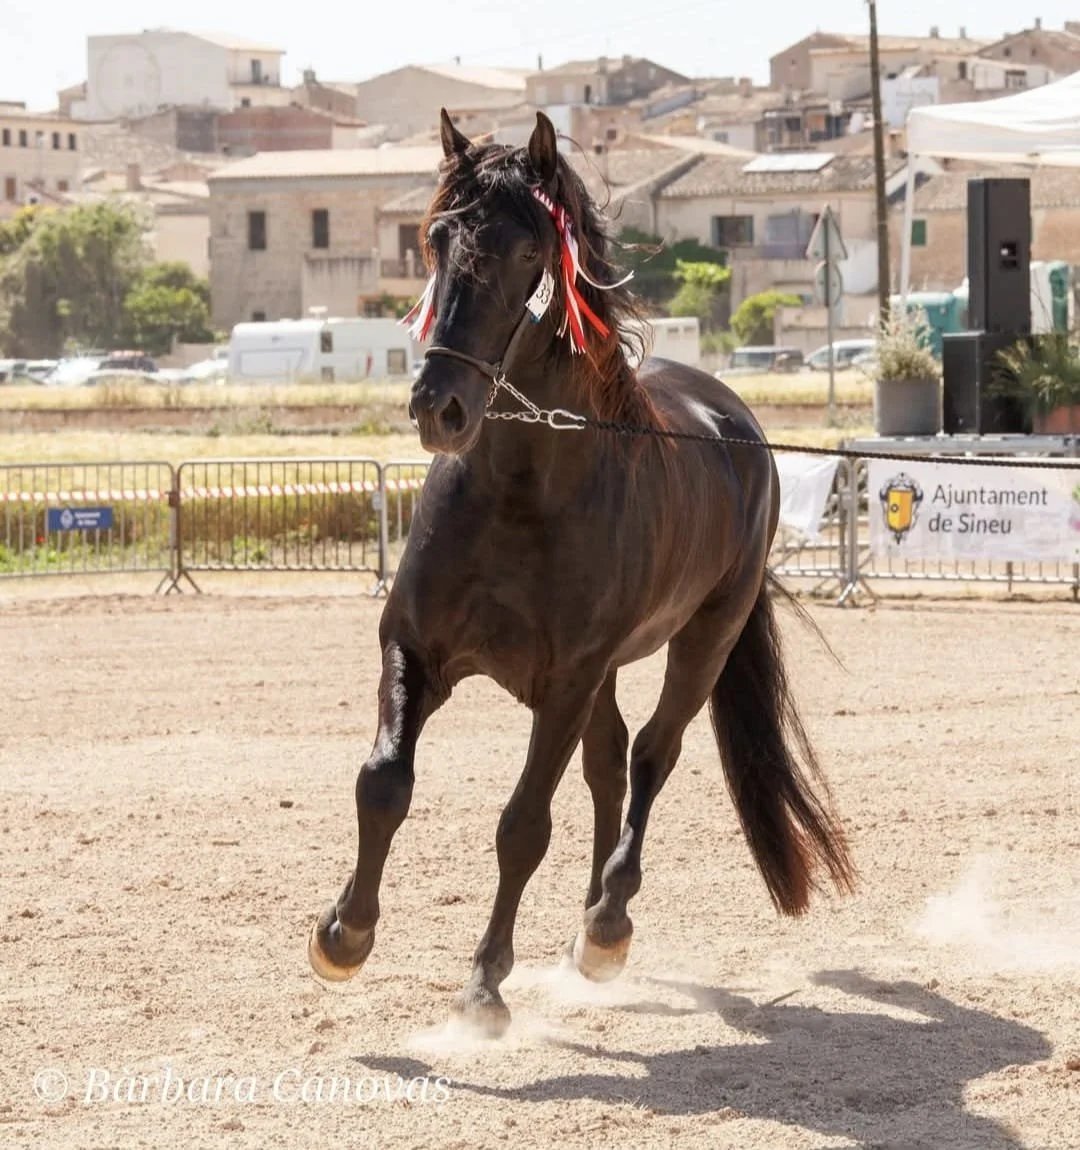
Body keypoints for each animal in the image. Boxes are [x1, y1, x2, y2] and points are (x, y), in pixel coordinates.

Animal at [308, 109, 855, 1036]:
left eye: (530, 252)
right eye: (436, 240)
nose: (439, 407)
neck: (518, 492)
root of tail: (735, 421)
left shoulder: (563, 683)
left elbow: (523, 825)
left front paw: (484, 985)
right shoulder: (416, 648)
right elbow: (382, 783)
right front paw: (344, 935)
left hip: (701, 642)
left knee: (651, 755)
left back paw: (606, 923)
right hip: (603, 673)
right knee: (610, 762)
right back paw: (587, 929)